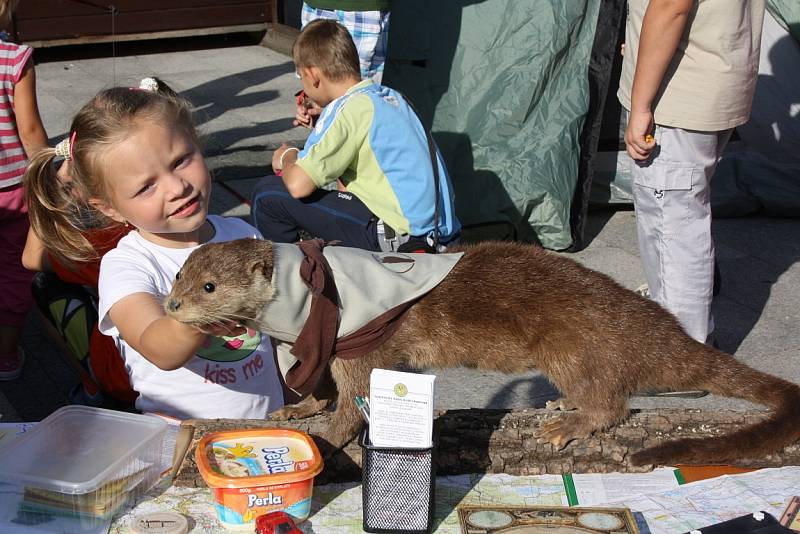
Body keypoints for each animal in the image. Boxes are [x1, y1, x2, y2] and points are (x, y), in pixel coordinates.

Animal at [162, 241, 800, 466]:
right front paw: (295, 411)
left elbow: (351, 403)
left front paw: (323, 440)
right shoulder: (318, 349)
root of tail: (655, 322)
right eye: (180, 274)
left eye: (209, 287)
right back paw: (556, 408)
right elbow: (316, 389)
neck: (311, 301)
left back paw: (565, 425)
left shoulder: (355, 348)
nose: (170, 305)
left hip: (571, 344)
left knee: (613, 403)